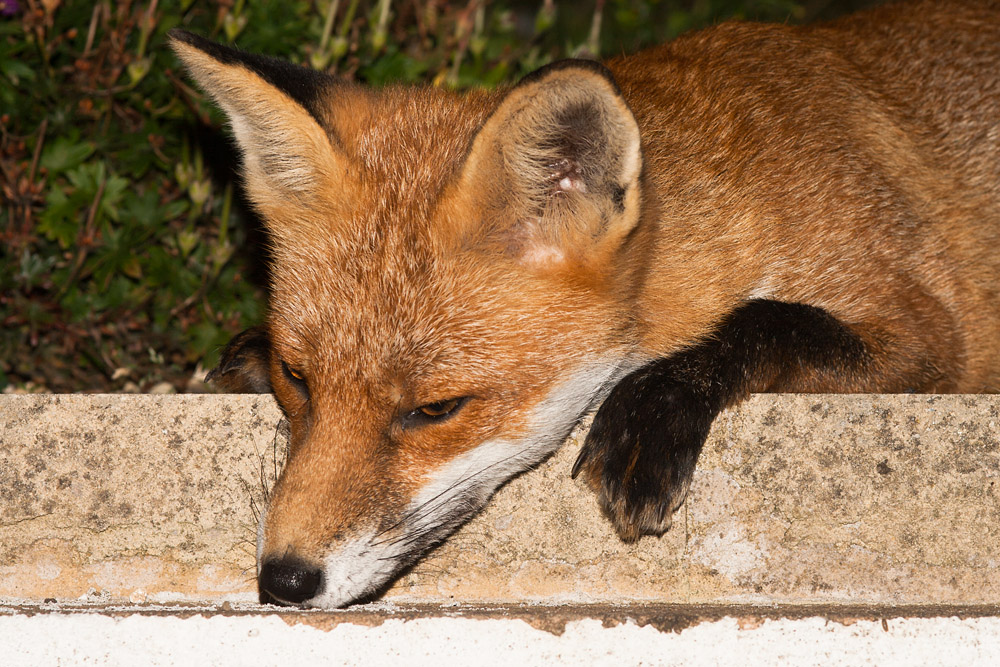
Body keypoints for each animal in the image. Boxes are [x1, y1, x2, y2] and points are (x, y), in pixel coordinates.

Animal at [170, 0, 1000, 608]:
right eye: (298, 377)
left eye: (436, 409)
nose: (283, 580)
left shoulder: (930, 334)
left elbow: (769, 318)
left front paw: (656, 408)